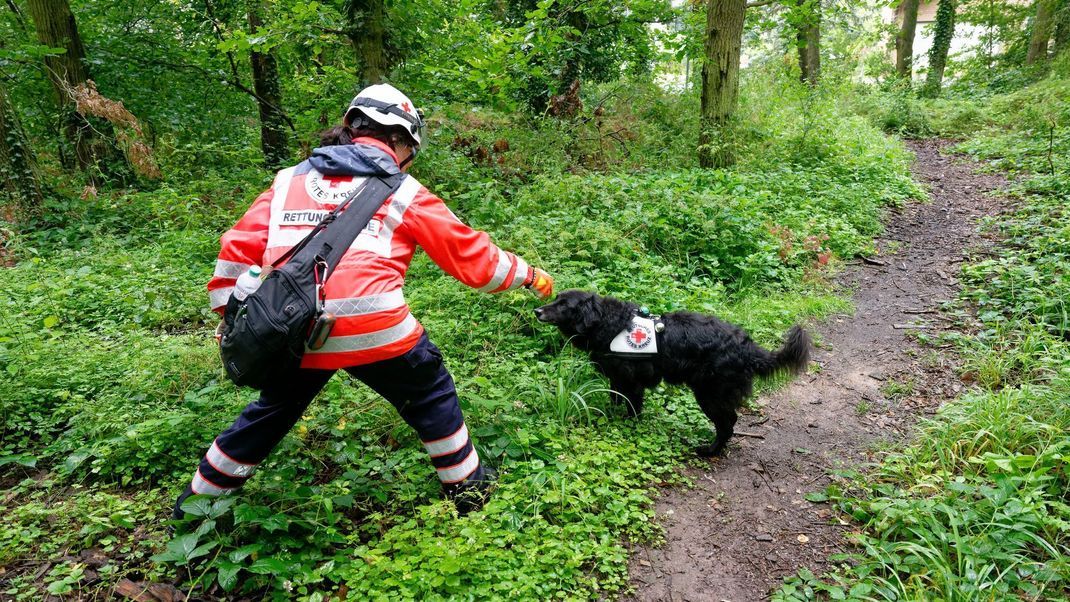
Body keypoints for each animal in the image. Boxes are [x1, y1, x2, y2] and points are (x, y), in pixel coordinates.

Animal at [535, 292, 808, 457]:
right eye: (555, 298)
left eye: (564, 305)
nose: (537, 311)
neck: (609, 325)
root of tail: (748, 347)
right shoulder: (617, 379)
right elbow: (615, 399)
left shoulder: (633, 383)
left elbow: (632, 410)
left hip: (709, 394)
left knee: (728, 424)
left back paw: (710, 451)